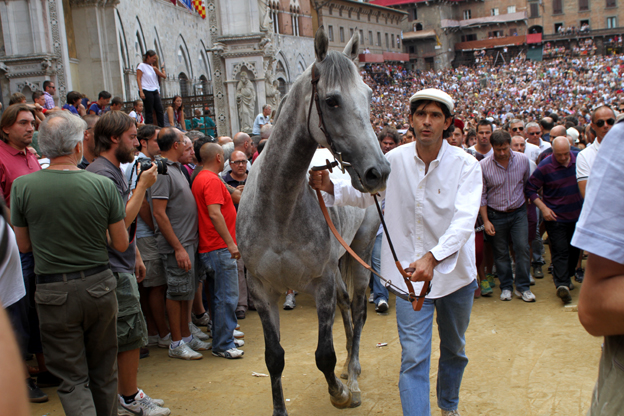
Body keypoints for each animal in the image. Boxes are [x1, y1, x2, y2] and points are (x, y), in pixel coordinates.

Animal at [238, 27, 390, 414]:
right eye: (332, 101)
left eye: (369, 95)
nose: (378, 172)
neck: (279, 211)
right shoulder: (262, 290)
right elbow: (274, 358)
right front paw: (280, 408)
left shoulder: (320, 283)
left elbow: (324, 355)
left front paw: (340, 391)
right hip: (338, 261)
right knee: (346, 305)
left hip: (360, 249)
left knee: (357, 308)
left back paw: (353, 374)